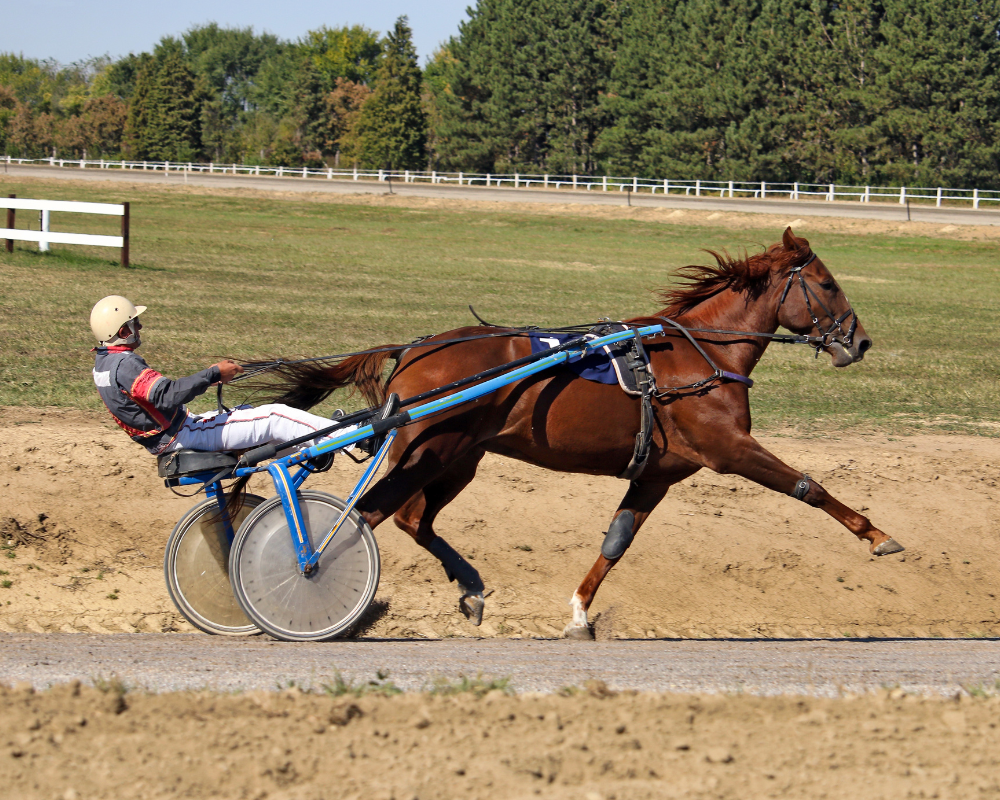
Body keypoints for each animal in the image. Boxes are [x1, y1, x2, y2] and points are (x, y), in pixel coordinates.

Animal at [262, 228, 904, 640]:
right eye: (826, 283)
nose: (862, 341)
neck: (700, 357)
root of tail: (414, 349)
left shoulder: (657, 475)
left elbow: (615, 543)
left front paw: (578, 615)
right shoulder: (728, 449)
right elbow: (809, 487)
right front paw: (878, 536)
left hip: (459, 458)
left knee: (411, 518)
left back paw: (470, 588)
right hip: (432, 452)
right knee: (366, 516)